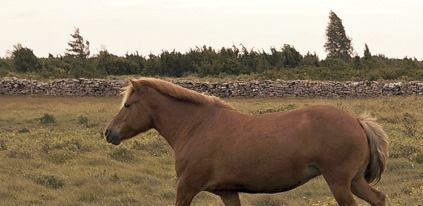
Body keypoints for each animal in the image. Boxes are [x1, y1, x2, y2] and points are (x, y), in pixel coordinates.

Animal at [104, 77, 390, 206]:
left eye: (127, 105)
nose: (109, 133)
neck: (197, 127)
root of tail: (357, 121)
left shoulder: (186, 187)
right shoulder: (228, 191)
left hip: (339, 183)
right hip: (354, 181)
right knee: (378, 198)